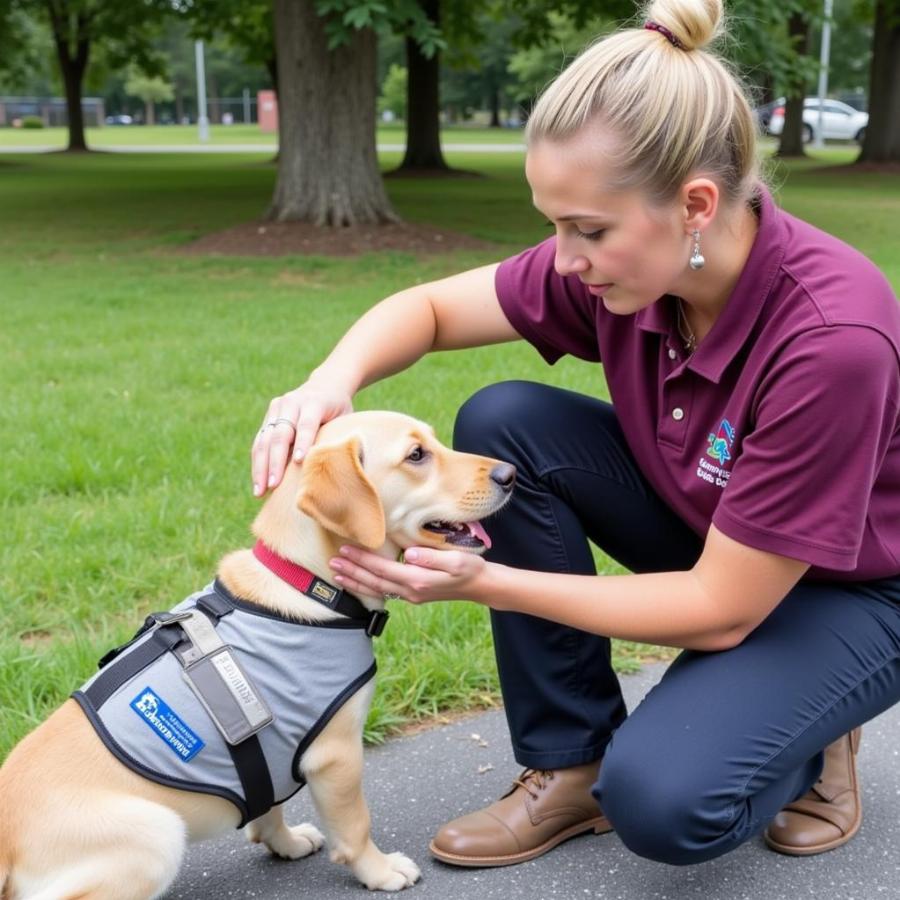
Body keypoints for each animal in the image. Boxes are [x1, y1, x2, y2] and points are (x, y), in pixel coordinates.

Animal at [0, 412, 512, 896]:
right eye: (416, 455)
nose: (510, 473)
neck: (305, 581)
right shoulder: (337, 754)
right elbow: (355, 826)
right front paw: (380, 871)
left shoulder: (275, 746)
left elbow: (270, 803)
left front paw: (285, 842)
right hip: (158, 833)